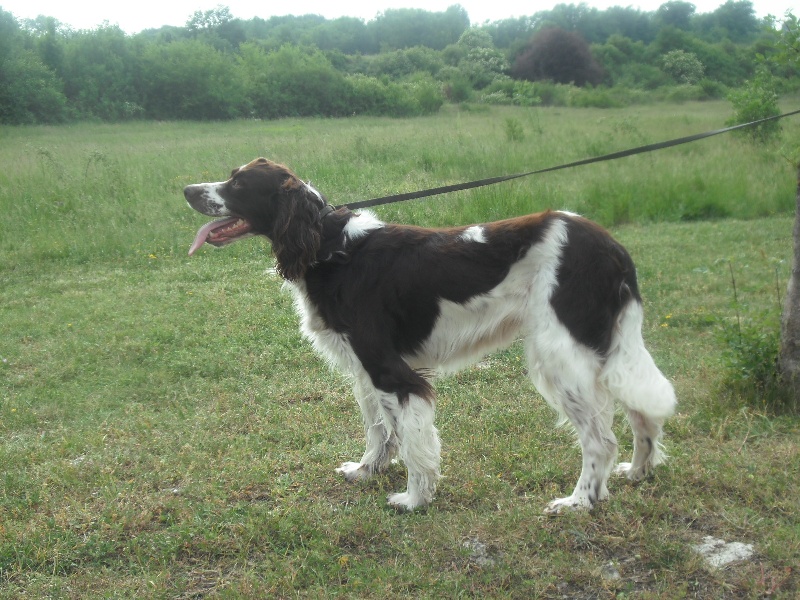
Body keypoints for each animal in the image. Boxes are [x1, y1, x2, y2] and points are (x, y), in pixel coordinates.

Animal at [183, 157, 676, 512]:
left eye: (238, 185)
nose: (187, 190)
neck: (330, 246)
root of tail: (613, 248)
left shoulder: (394, 373)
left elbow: (414, 445)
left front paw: (414, 499)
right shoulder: (366, 371)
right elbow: (379, 431)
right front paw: (367, 471)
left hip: (559, 356)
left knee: (600, 440)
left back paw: (580, 502)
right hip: (604, 350)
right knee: (641, 415)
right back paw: (639, 472)